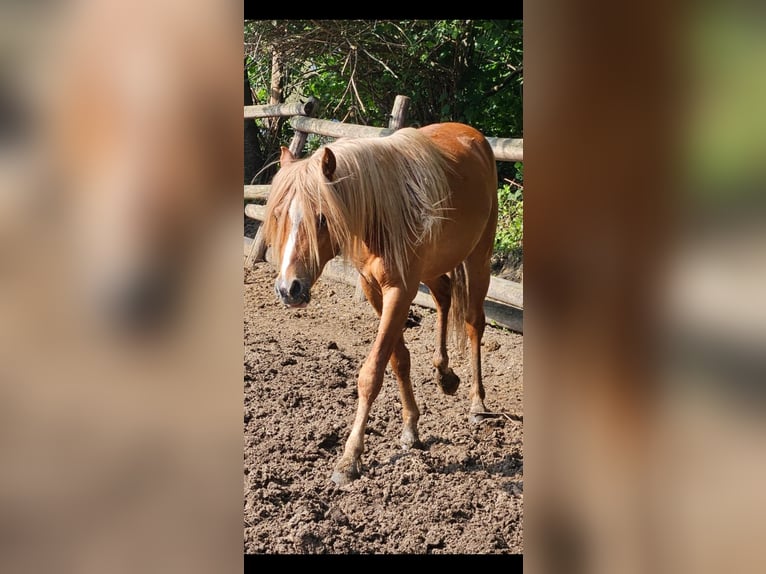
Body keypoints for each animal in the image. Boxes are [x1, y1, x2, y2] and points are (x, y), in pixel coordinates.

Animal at [262, 122, 498, 485]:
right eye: (278, 215)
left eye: (322, 217)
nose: (289, 289)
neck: (378, 214)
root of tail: (473, 136)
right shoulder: (373, 288)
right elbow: (398, 360)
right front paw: (411, 428)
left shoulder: (399, 291)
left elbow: (371, 373)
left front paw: (349, 459)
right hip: (433, 268)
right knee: (444, 297)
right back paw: (444, 373)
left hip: (478, 258)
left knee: (474, 322)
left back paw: (477, 403)